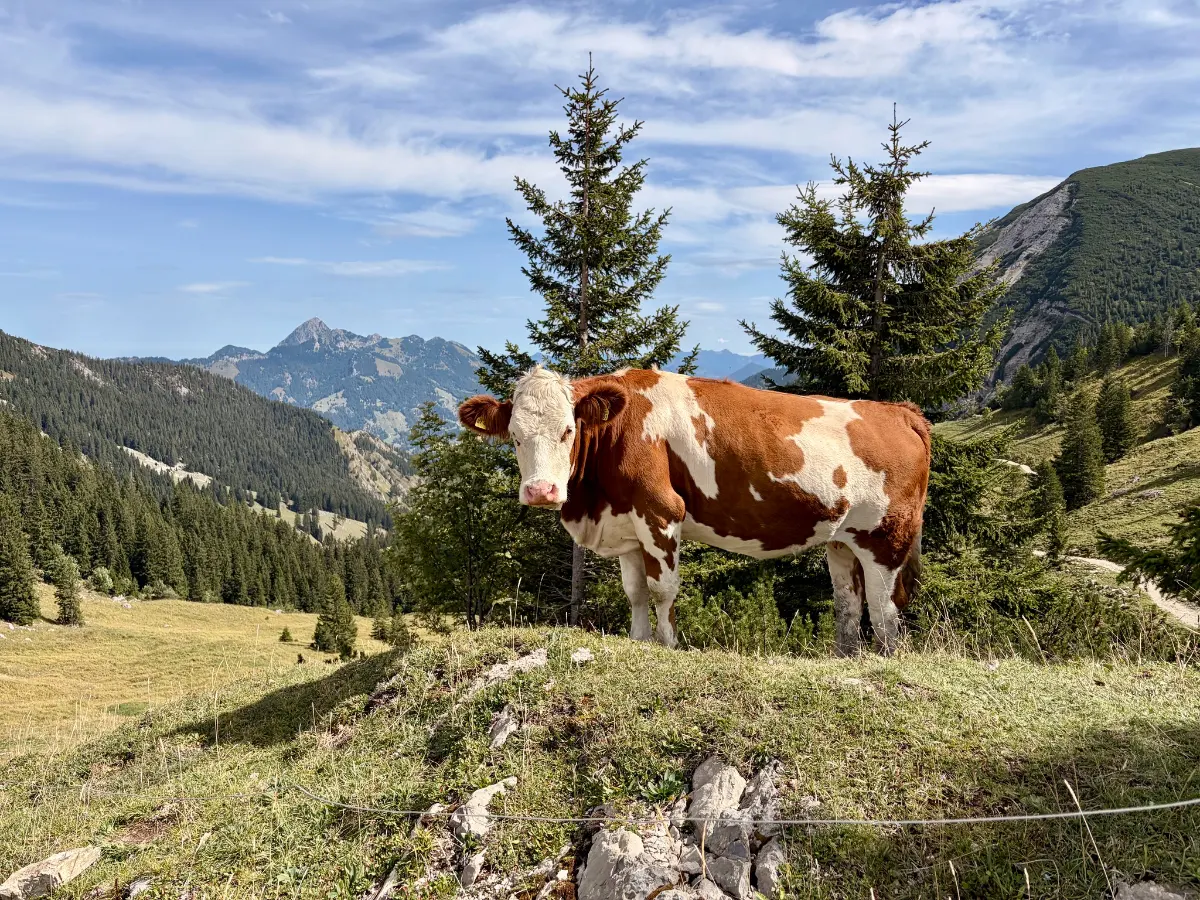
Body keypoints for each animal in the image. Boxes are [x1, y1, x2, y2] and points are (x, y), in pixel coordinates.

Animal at [458, 365, 931, 655]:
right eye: (515, 436)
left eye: (568, 431)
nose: (541, 490)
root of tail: (899, 411)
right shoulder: (627, 527)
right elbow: (635, 592)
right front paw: (639, 642)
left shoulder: (660, 511)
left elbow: (663, 590)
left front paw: (667, 646)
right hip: (843, 539)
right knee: (848, 603)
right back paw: (846, 657)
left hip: (887, 537)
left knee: (885, 610)